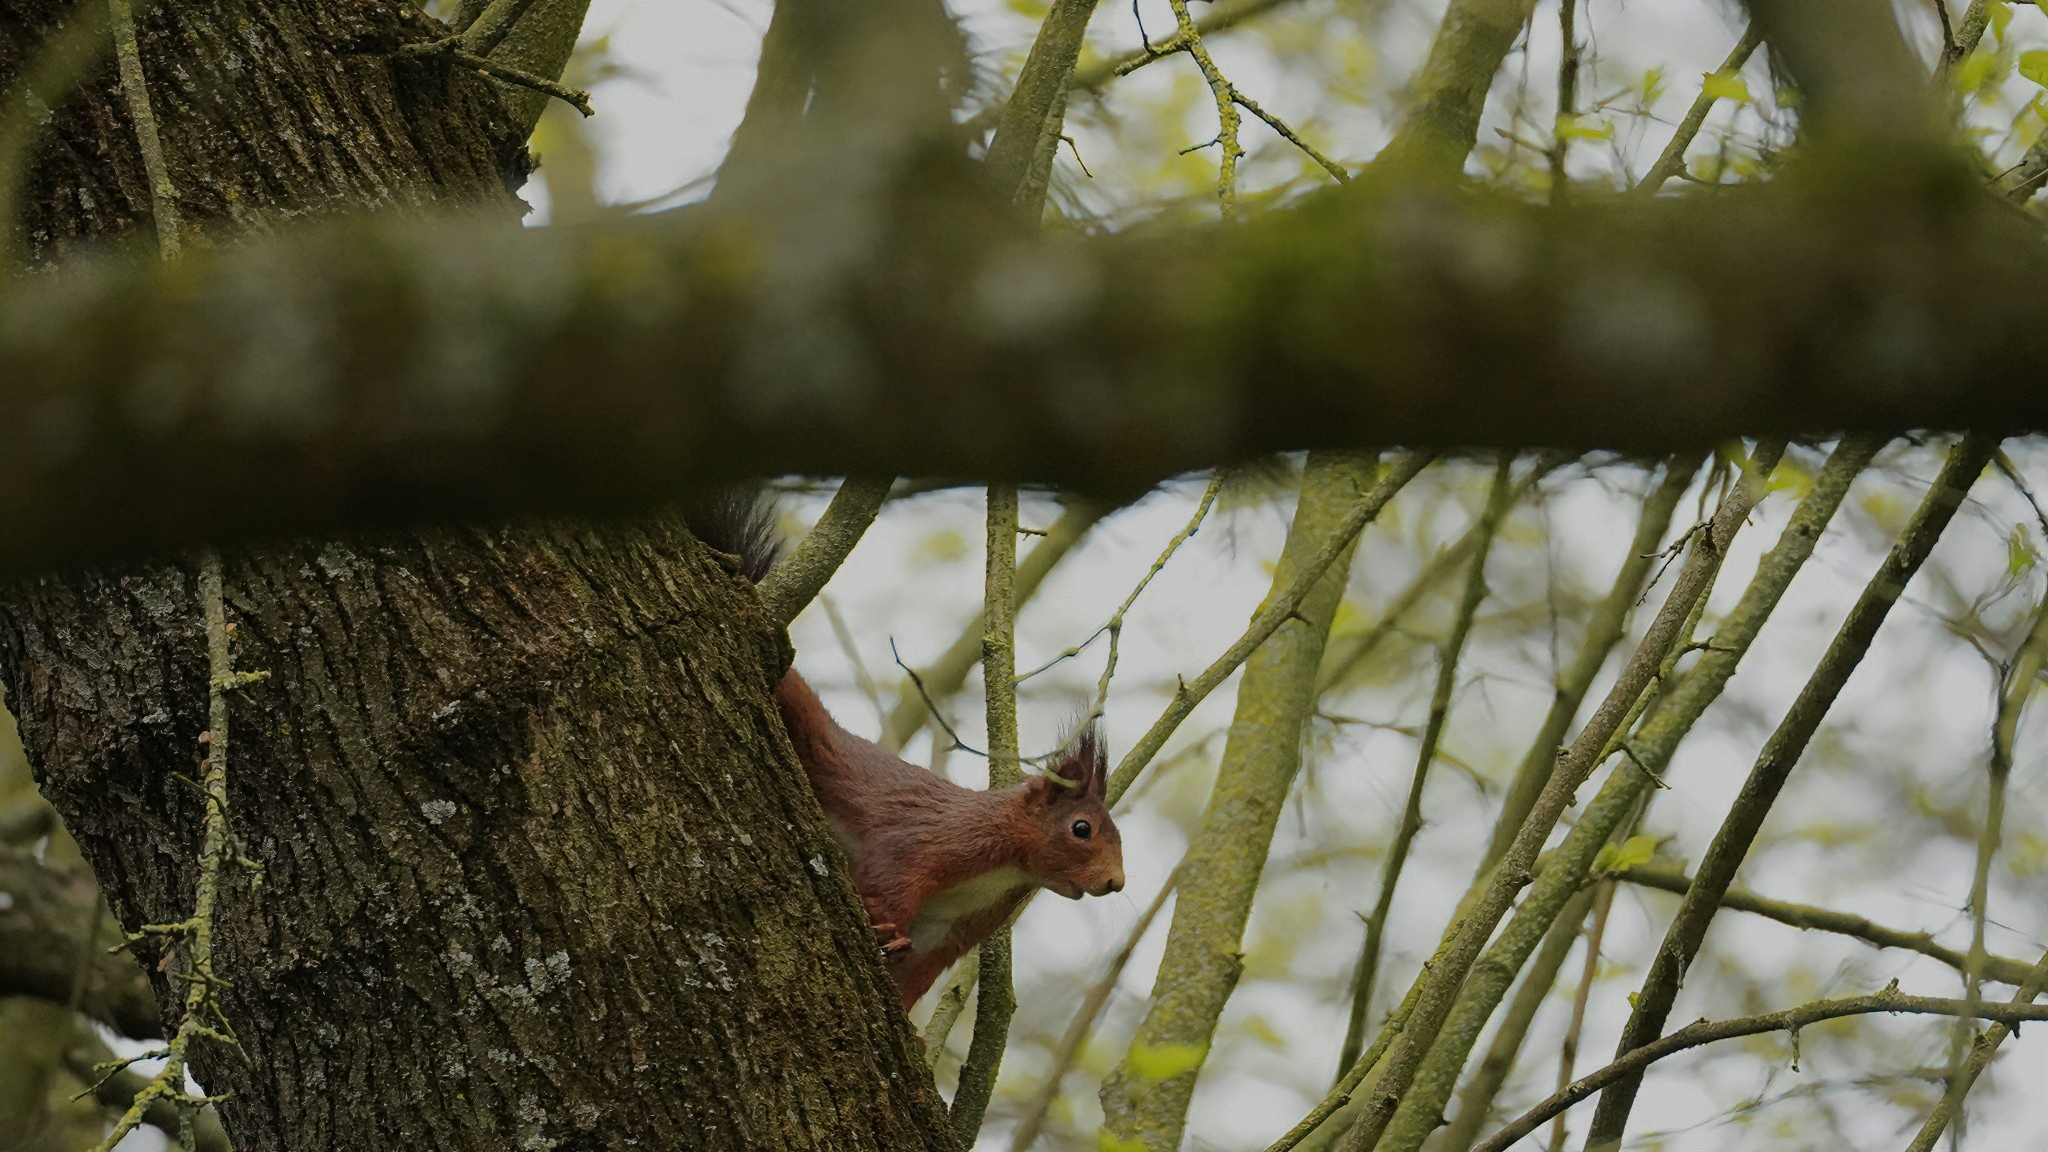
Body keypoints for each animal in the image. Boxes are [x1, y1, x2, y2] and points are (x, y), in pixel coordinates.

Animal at [689, 493, 1127, 1010]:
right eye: (1081, 829)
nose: (1116, 883)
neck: (1006, 866)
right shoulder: (934, 841)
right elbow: (891, 877)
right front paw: (884, 932)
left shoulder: (953, 926)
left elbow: (918, 970)